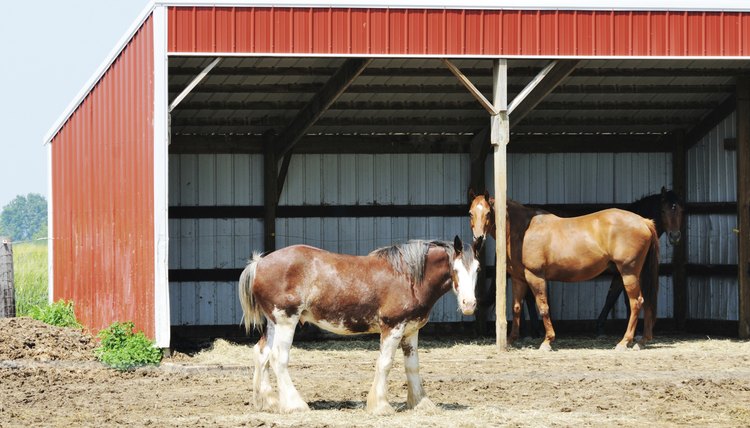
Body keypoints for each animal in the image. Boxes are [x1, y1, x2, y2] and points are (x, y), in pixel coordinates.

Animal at [238, 237, 478, 414]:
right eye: (455, 269)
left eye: (477, 269)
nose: (469, 304)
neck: (407, 277)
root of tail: (259, 263)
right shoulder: (393, 328)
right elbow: (385, 364)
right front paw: (381, 406)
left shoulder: (411, 331)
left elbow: (412, 366)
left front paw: (420, 403)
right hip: (287, 321)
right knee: (278, 358)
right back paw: (295, 404)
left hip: (273, 323)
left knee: (262, 354)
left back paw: (268, 402)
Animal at [472, 192, 660, 350]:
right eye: (470, 212)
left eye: (488, 213)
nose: (478, 239)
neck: (524, 230)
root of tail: (644, 222)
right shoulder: (519, 278)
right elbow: (516, 308)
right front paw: (511, 339)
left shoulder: (535, 276)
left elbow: (543, 307)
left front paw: (547, 341)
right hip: (639, 273)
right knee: (647, 301)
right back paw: (642, 341)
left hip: (628, 272)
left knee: (636, 302)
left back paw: (624, 341)